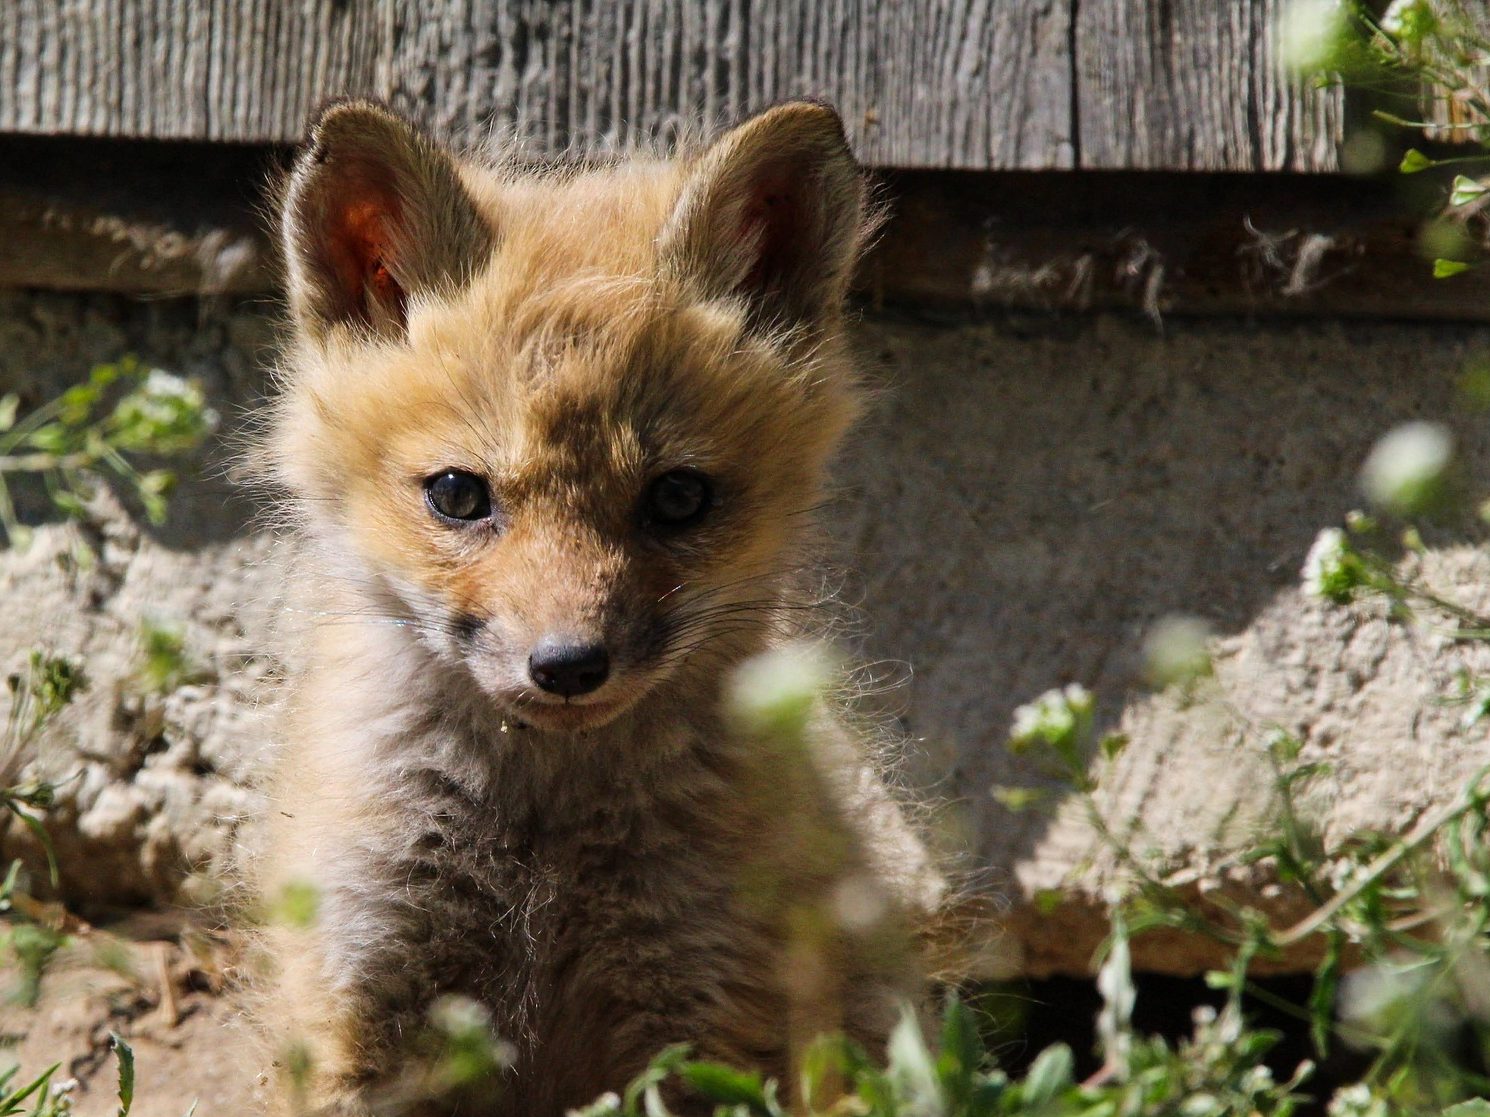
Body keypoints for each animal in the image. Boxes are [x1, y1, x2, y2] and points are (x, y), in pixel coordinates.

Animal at [251, 98, 947, 1117]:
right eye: (458, 495)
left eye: (678, 498)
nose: (569, 665)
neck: (541, 848)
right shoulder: (361, 986)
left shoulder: (699, 1011)